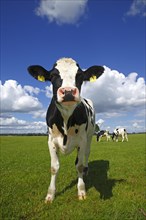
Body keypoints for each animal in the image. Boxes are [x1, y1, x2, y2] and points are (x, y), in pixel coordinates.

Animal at [27, 57, 104, 203]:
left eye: (80, 76)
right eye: (52, 76)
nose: (68, 91)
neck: (66, 118)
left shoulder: (82, 141)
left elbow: (79, 165)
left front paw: (81, 191)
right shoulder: (51, 141)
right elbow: (54, 167)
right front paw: (50, 195)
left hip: (90, 135)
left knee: (87, 154)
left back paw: (86, 170)